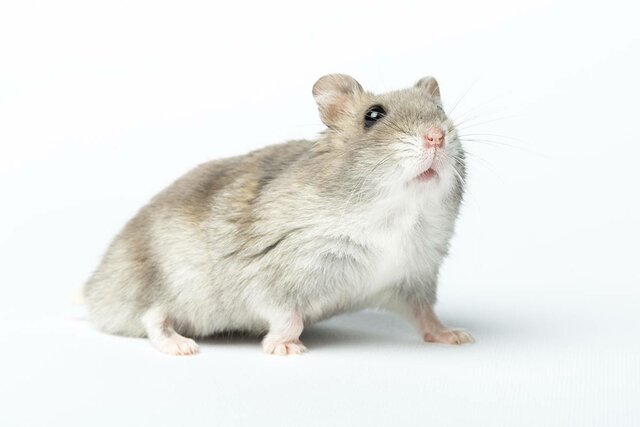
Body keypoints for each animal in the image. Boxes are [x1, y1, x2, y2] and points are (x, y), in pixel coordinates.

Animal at [83, 74, 473, 356]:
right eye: (373, 115)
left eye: (441, 112)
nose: (436, 137)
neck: (396, 216)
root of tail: (92, 291)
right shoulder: (275, 279)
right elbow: (288, 318)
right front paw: (286, 349)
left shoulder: (412, 277)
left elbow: (426, 314)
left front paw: (456, 336)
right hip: (162, 285)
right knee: (152, 317)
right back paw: (181, 347)